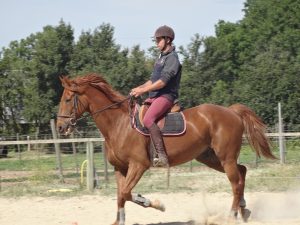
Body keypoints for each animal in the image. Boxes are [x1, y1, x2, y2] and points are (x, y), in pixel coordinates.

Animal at [56, 73, 276, 223]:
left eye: (67, 99)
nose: (60, 127)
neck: (119, 124)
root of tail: (232, 112)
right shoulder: (120, 168)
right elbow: (120, 196)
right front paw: (119, 221)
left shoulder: (138, 165)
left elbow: (126, 193)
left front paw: (154, 203)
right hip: (210, 158)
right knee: (242, 171)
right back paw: (244, 210)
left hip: (225, 157)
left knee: (236, 183)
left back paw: (231, 215)